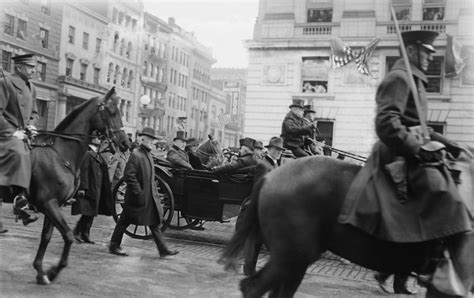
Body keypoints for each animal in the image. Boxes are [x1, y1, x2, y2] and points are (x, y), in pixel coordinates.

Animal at [27, 87, 130, 286]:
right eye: (112, 111)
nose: (126, 143)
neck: (60, 154)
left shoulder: (54, 205)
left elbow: (46, 237)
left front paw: (40, 271)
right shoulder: (48, 203)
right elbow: (67, 236)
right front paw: (53, 271)